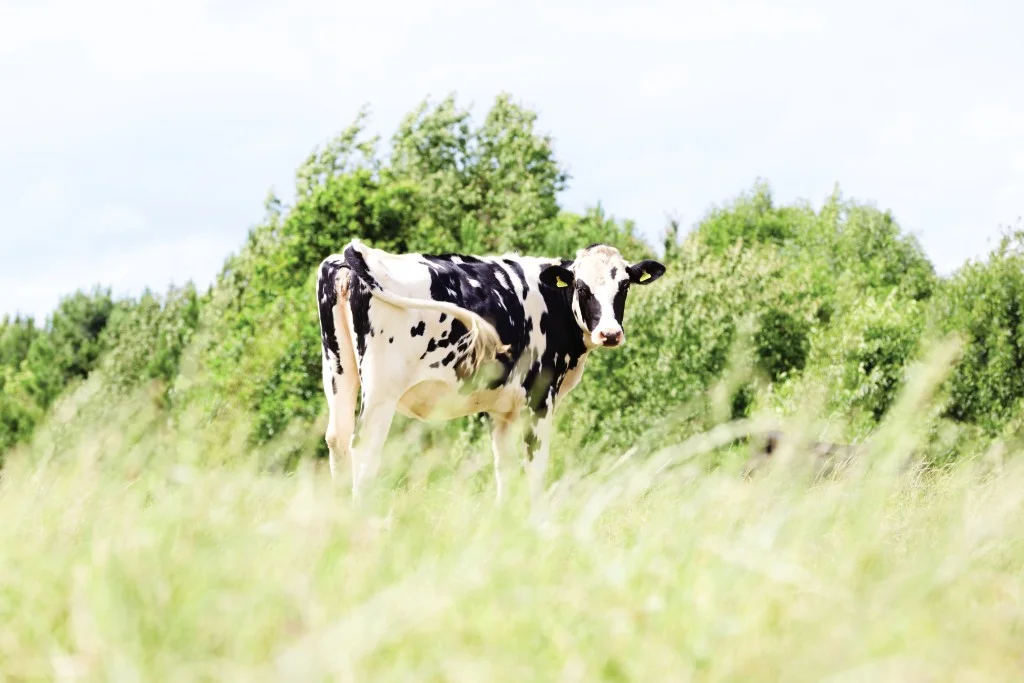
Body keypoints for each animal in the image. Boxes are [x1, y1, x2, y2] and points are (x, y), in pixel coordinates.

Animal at [315, 238, 666, 509]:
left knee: (338, 440)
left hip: (338, 372)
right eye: (582, 287)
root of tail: (353, 255)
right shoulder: (541, 397)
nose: (610, 333)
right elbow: (535, 462)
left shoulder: (502, 408)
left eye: (624, 285)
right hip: (381, 389)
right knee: (365, 448)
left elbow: (504, 464)